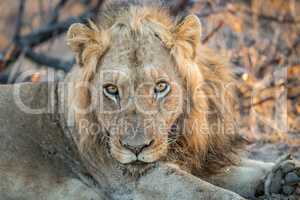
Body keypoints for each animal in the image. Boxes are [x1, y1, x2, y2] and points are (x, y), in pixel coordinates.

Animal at [0, 0, 300, 199]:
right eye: (111, 90)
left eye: (161, 87)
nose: (136, 148)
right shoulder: (133, 181)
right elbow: (207, 191)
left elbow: (240, 169)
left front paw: (285, 176)